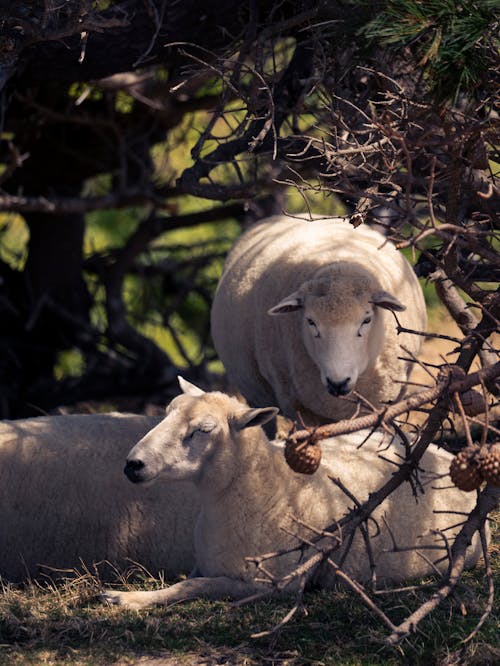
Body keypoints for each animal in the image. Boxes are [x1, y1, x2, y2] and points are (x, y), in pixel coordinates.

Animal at [103, 378, 482, 608]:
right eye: (166, 413)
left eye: (204, 430)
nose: (133, 465)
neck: (268, 489)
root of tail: (444, 453)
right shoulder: (206, 564)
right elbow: (187, 580)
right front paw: (132, 595)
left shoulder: (272, 585)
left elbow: (193, 587)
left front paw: (125, 599)